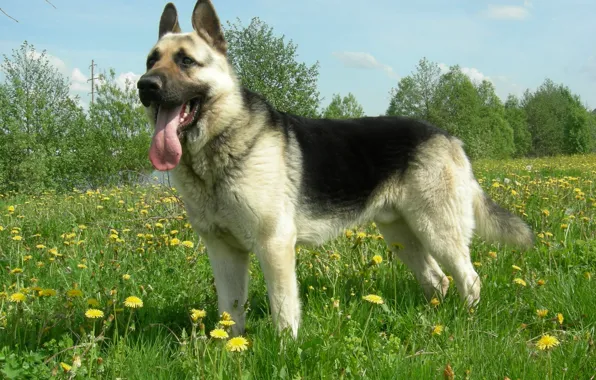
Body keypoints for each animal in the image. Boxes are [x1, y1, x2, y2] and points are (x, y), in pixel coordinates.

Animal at [139, 0, 536, 338]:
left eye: (186, 62)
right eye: (150, 61)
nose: (145, 85)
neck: (218, 143)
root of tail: (448, 136)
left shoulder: (274, 245)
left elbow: (283, 310)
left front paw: (285, 351)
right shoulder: (223, 251)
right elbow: (230, 310)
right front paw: (231, 347)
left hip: (437, 230)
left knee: (469, 278)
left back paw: (465, 323)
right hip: (402, 235)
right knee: (438, 280)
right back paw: (434, 320)